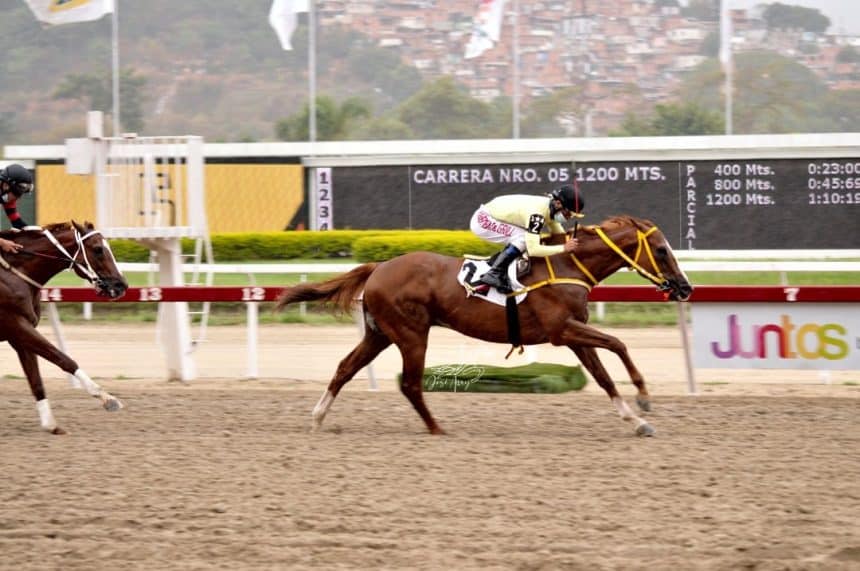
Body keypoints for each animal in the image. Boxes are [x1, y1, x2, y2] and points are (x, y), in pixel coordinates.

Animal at [0, 221, 127, 436]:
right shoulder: (16, 324)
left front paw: (50, 424)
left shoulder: (20, 334)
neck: (14, 274)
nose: (121, 285)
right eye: (98, 249)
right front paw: (108, 398)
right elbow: (64, 359)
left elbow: (36, 380)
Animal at [278, 216, 696, 438]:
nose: (685, 288)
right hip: (411, 334)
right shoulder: (562, 331)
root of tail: (378, 267)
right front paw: (644, 397)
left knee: (345, 368)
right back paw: (437, 428)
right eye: (662, 251)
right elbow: (619, 343)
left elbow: (604, 375)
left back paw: (318, 417)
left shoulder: (573, 334)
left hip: (380, 334)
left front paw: (637, 420)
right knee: (410, 383)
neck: (568, 265)